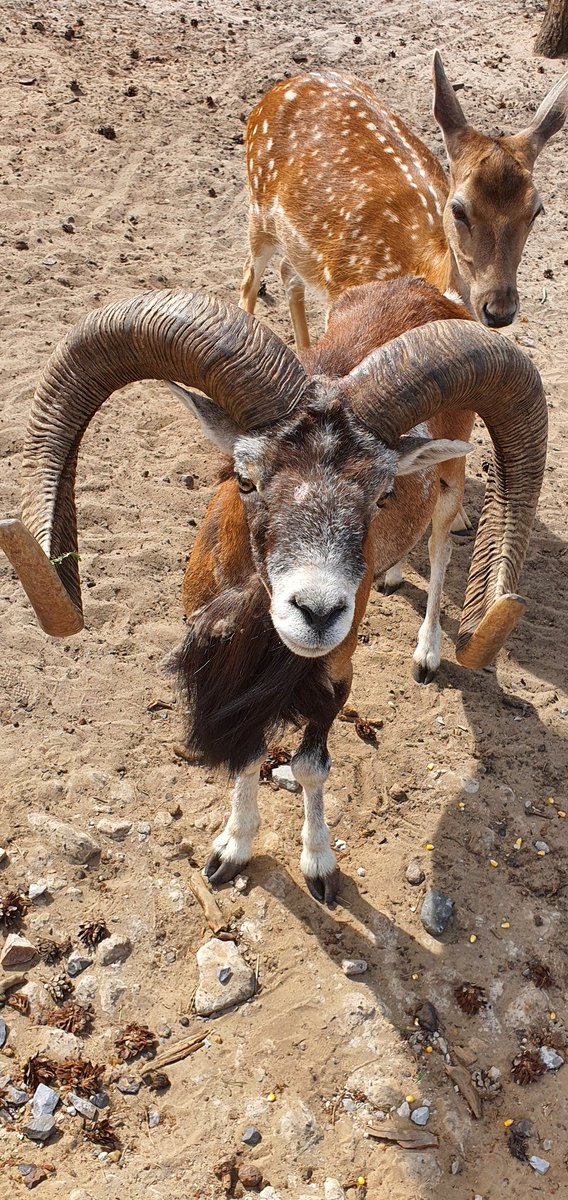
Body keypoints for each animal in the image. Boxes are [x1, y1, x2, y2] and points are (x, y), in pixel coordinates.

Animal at [238, 55, 566, 350]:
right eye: (458, 209)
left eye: (536, 210)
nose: (499, 310)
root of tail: (280, 88)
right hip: (257, 207)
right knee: (249, 277)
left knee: (287, 270)